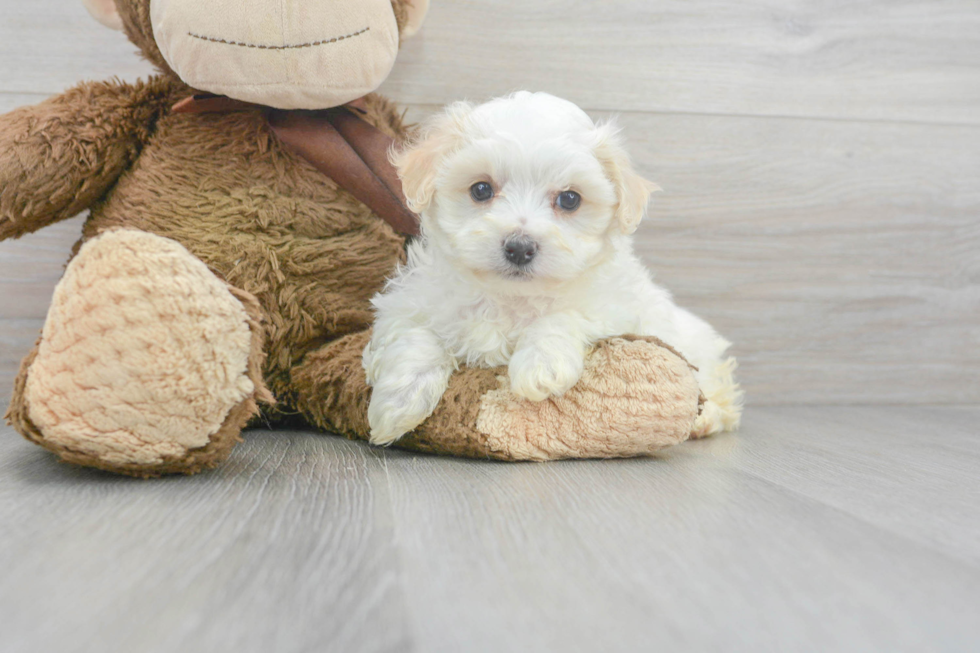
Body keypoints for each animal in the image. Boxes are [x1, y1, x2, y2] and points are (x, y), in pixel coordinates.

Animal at [364, 91, 740, 446]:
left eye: (569, 199)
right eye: (481, 189)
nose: (519, 247)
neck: (510, 298)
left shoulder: (616, 309)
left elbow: (564, 315)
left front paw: (541, 365)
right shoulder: (409, 302)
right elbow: (416, 335)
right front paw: (396, 404)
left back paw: (704, 420)